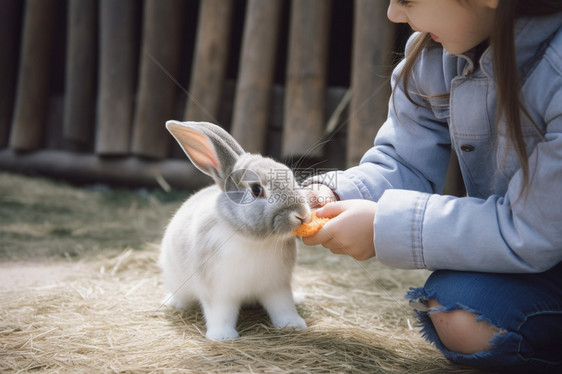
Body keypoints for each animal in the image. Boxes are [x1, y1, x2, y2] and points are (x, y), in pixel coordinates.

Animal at [160, 121, 308, 340]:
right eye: (256, 190)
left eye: (290, 176)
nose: (300, 215)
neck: (255, 241)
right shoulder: (219, 293)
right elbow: (220, 314)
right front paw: (222, 336)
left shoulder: (277, 286)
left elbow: (283, 307)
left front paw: (293, 325)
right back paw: (172, 303)